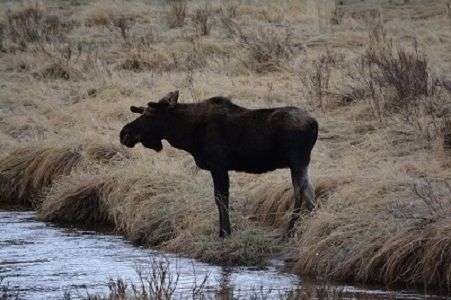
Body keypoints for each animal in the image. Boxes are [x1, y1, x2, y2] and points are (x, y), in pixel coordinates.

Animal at [120, 90, 318, 238]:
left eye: (149, 115)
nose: (124, 133)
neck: (187, 134)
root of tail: (314, 123)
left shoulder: (218, 165)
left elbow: (221, 198)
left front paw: (225, 232)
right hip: (302, 164)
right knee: (310, 194)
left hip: (296, 161)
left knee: (300, 194)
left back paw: (290, 231)